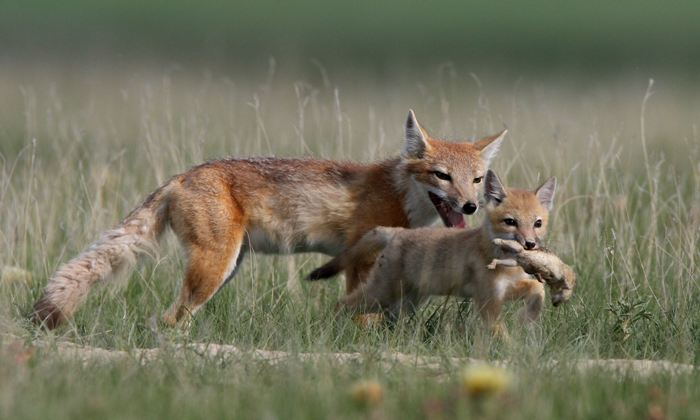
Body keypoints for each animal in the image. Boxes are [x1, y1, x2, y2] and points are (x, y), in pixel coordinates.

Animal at [31, 110, 506, 330]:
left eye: (476, 180)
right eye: (442, 176)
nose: (470, 207)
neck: (396, 191)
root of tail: (182, 175)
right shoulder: (360, 260)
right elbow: (363, 315)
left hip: (226, 267)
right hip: (212, 271)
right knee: (169, 319)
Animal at [328, 170, 560, 329]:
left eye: (537, 223)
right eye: (511, 222)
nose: (529, 244)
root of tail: (397, 232)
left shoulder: (503, 291)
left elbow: (537, 289)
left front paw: (528, 319)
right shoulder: (488, 300)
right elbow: (499, 332)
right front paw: (512, 350)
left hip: (407, 301)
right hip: (381, 295)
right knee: (341, 304)